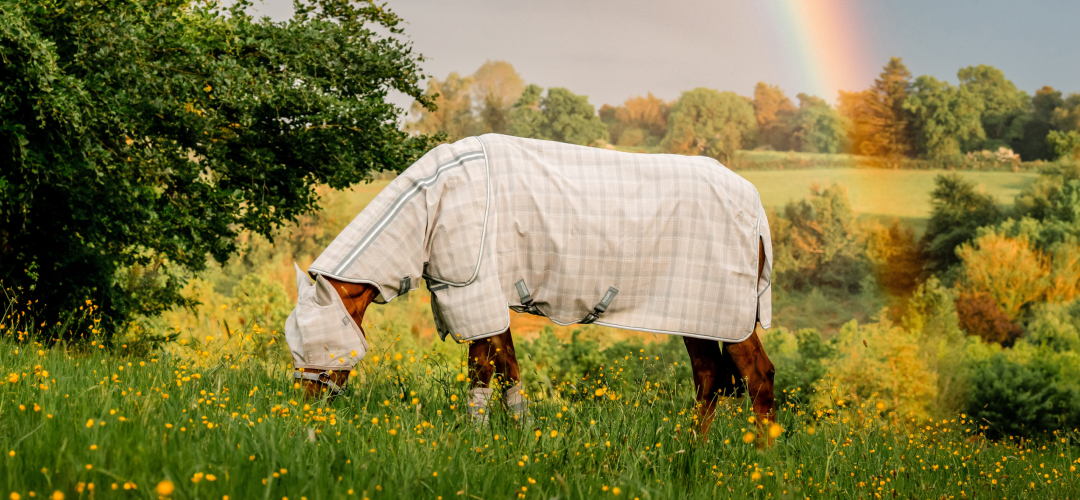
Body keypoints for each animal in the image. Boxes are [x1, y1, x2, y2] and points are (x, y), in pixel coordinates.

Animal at [285, 134, 776, 437]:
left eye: (317, 343)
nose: (304, 410)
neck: (435, 204)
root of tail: (756, 208)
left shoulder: (474, 292)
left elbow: (481, 372)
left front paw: (476, 439)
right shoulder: (491, 298)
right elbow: (509, 371)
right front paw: (522, 437)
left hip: (725, 314)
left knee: (756, 376)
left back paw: (759, 462)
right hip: (704, 316)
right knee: (711, 378)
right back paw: (689, 452)